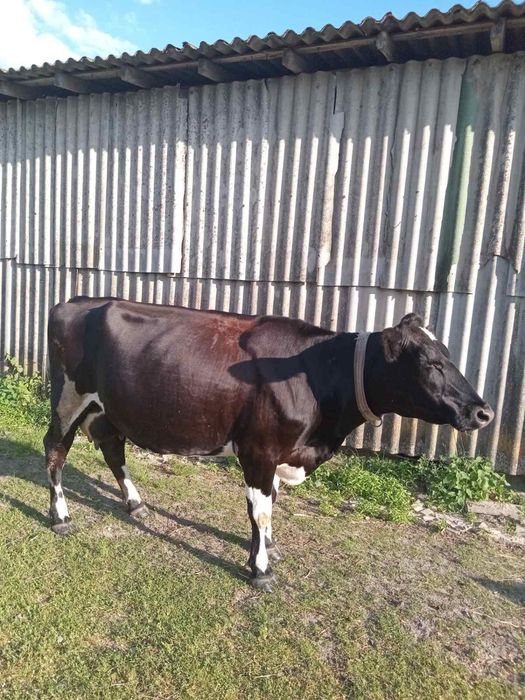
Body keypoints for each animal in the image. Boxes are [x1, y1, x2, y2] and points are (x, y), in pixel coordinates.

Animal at [44, 297, 494, 591]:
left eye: (448, 355)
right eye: (430, 363)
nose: (482, 412)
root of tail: (73, 302)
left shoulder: (282, 452)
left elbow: (270, 504)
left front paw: (268, 548)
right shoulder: (259, 450)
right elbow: (260, 510)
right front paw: (260, 568)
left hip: (107, 406)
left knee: (112, 446)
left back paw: (135, 503)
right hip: (68, 398)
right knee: (55, 449)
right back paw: (60, 516)